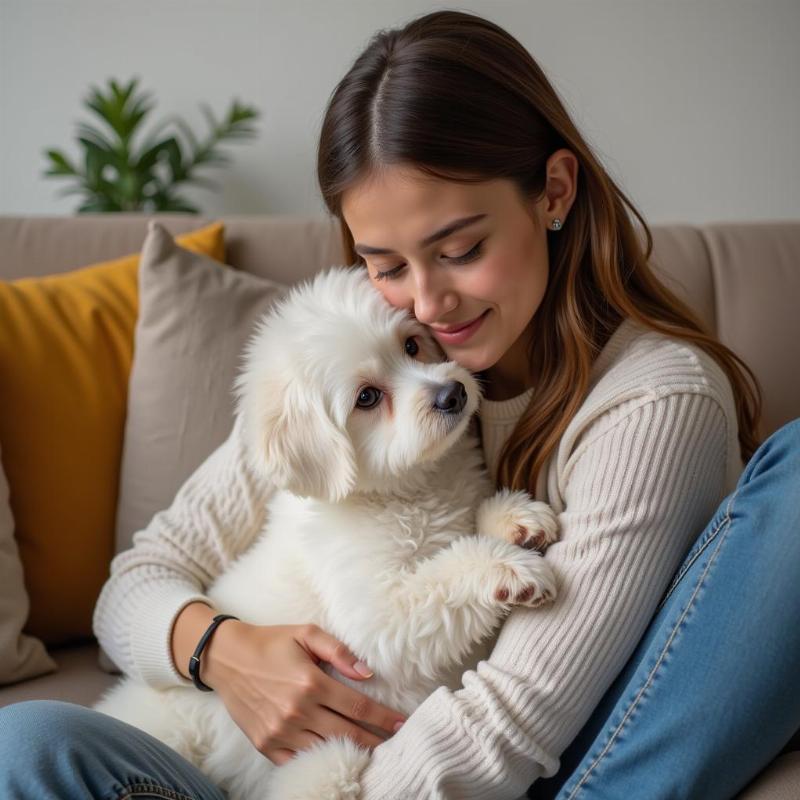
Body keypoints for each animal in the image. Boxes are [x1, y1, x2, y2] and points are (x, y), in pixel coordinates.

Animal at [94, 268, 560, 800]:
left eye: (412, 345)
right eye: (367, 398)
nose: (453, 393)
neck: (405, 491)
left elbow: (468, 522)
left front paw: (514, 517)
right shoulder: (376, 619)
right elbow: (442, 573)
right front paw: (507, 568)